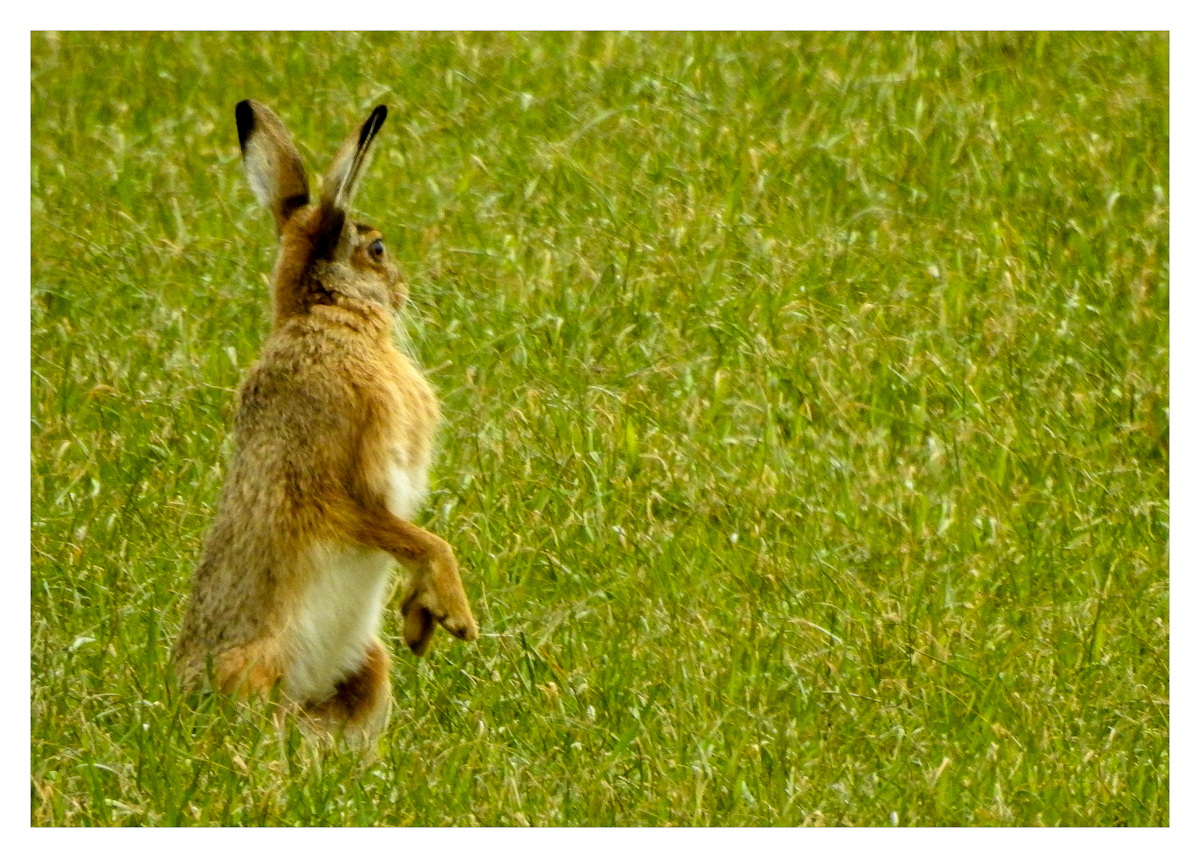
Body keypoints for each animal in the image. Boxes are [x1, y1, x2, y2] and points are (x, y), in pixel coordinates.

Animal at [173, 100, 479, 743]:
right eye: (377, 249)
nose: (403, 288)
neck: (328, 314)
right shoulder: (340, 487)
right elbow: (421, 539)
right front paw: (455, 615)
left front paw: (419, 622)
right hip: (258, 666)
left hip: (369, 668)